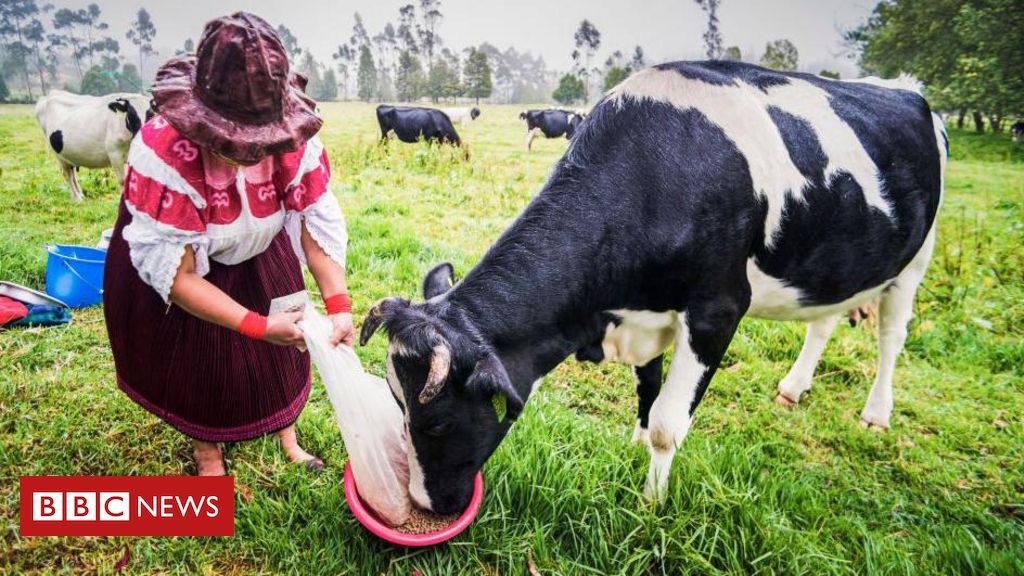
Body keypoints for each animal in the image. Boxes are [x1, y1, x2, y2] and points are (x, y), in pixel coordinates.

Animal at [360, 60, 942, 512]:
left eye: (436, 423)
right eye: (396, 404)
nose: (424, 505)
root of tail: (907, 89)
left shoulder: (716, 309)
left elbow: (667, 421)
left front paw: (652, 504)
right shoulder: (643, 312)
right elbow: (646, 387)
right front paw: (632, 445)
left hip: (914, 261)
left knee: (892, 339)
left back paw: (876, 414)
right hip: (838, 265)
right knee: (822, 322)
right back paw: (793, 387)